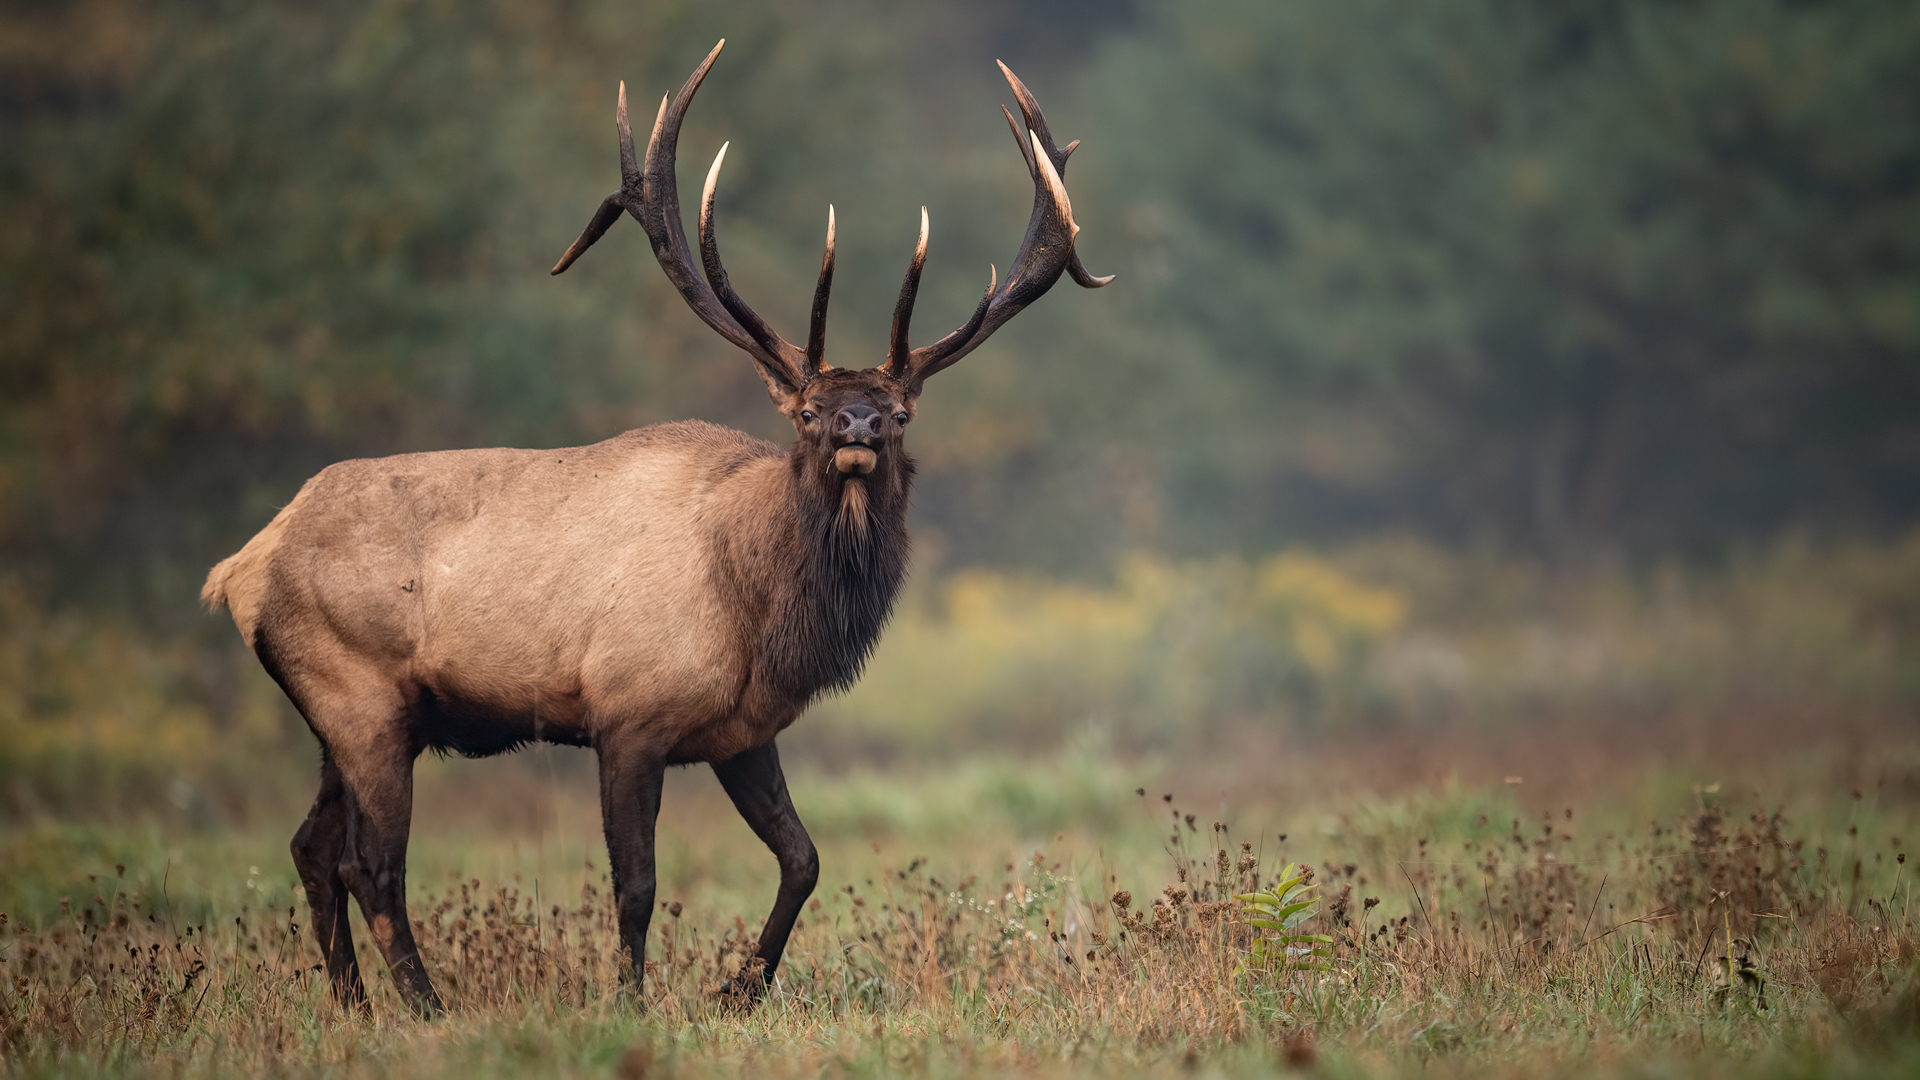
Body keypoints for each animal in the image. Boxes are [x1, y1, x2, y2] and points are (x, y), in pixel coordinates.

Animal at [200, 40, 1108, 1016]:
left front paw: (737, 990)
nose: (858, 425)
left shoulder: (744, 733)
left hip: (350, 715)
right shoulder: (627, 715)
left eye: (900, 413)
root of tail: (240, 567)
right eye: (807, 413)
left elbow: (803, 860)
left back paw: (355, 1006)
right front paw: (633, 1003)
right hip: (357, 695)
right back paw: (426, 1009)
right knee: (371, 864)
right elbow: (636, 883)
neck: (761, 610)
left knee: (310, 848)